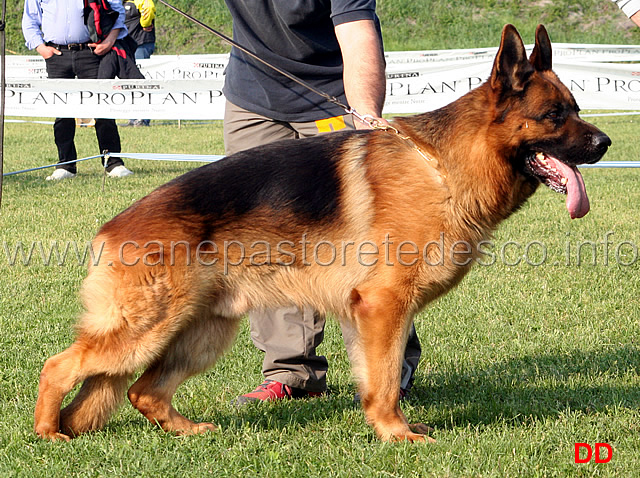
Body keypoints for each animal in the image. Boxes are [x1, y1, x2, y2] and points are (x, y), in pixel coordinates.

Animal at [33, 24, 608, 442]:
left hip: (202, 333)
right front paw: (396, 435)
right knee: (59, 365)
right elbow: (385, 382)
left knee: (142, 392)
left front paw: (388, 427)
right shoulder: (382, 306)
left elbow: (379, 377)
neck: (443, 166)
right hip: (146, 328)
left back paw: (186, 430)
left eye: (577, 109)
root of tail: (111, 229)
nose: (603, 144)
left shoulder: (374, 316)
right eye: (553, 115)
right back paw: (49, 433)